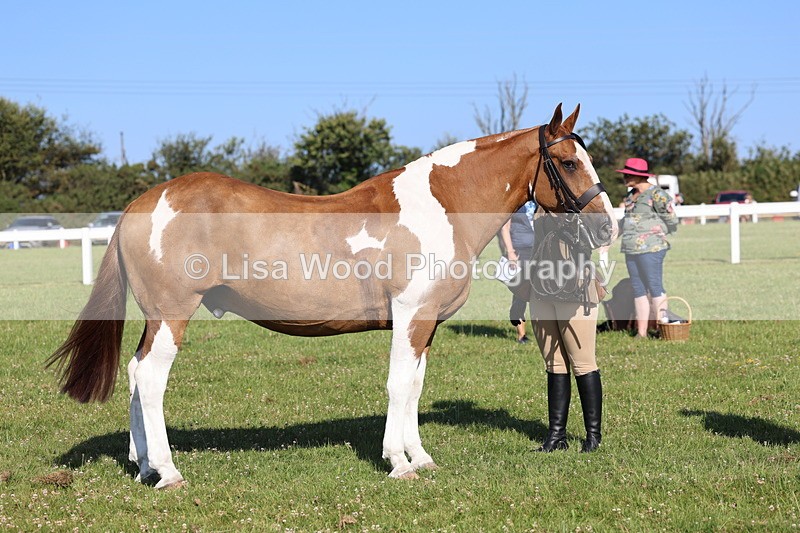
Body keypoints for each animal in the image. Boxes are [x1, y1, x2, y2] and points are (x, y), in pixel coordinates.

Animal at [48, 103, 617, 488]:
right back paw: (167, 472)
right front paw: (399, 464)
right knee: (150, 377)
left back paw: (142, 464)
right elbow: (397, 386)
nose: (606, 226)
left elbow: (414, 388)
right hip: (172, 315)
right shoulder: (410, 317)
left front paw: (420, 457)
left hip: (155, 319)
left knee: (134, 374)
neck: (440, 206)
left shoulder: (426, 325)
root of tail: (141, 203)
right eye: (568, 163)